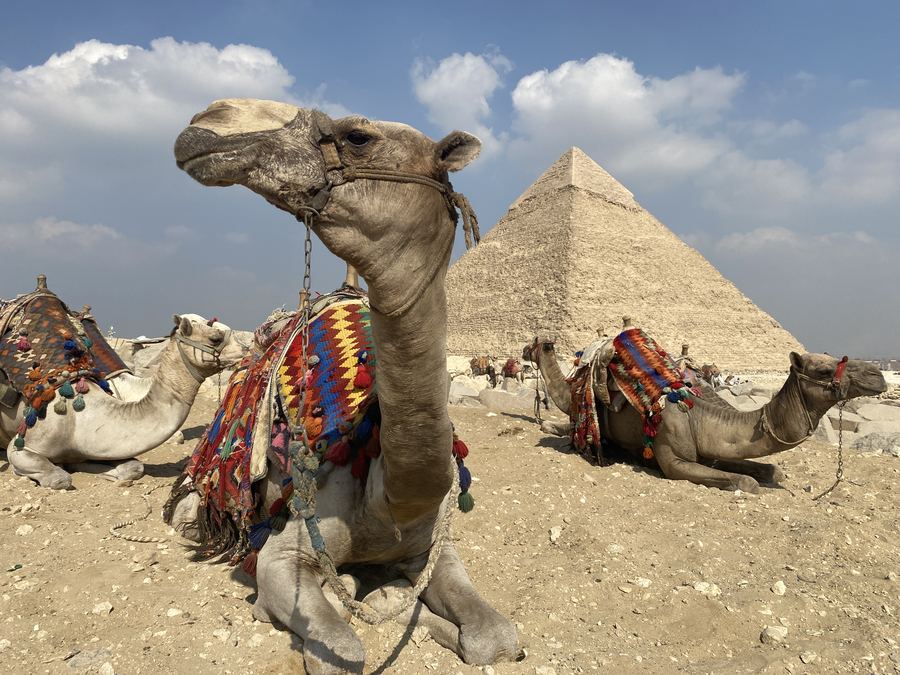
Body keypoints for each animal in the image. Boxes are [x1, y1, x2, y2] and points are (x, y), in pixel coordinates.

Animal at [2, 314, 245, 489]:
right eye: (215, 338)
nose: (246, 349)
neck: (81, 418)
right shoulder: (23, 446)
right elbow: (59, 478)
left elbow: (134, 467)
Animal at [168, 99, 518, 673]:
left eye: (357, 136)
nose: (209, 121)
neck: (390, 500)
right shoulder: (284, 552)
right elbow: (343, 650)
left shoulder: (434, 549)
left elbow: (497, 635)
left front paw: (412, 606)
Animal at [523, 336, 886, 492]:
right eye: (823, 370)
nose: (877, 375)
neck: (702, 415)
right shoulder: (674, 461)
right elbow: (747, 482)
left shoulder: (714, 450)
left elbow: (770, 471)